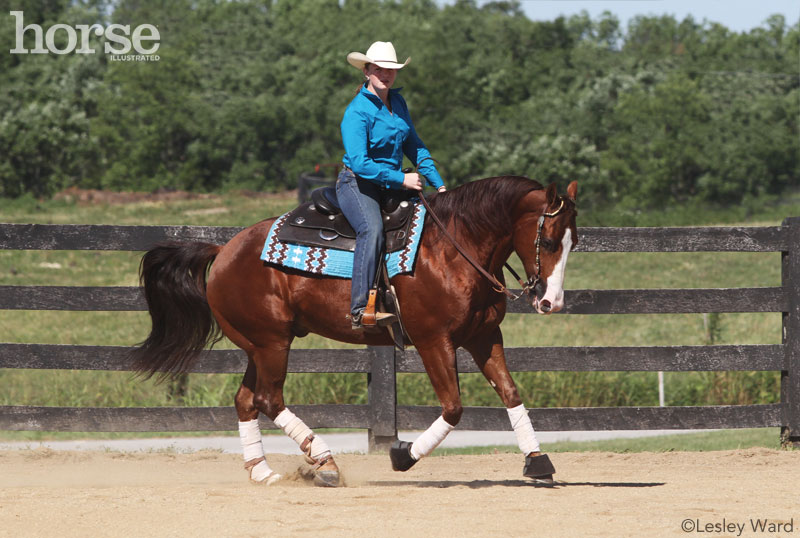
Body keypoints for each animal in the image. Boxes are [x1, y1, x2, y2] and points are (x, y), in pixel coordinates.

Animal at [134, 176, 580, 486]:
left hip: (258, 346)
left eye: (575, 241)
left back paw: (263, 472)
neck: (453, 250)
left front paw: (538, 463)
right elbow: (453, 407)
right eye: (549, 240)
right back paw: (326, 463)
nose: (551, 302)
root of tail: (223, 249)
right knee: (268, 399)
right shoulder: (434, 341)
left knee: (247, 401)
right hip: (272, 343)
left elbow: (510, 393)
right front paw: (403, 455)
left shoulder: (484, 337)